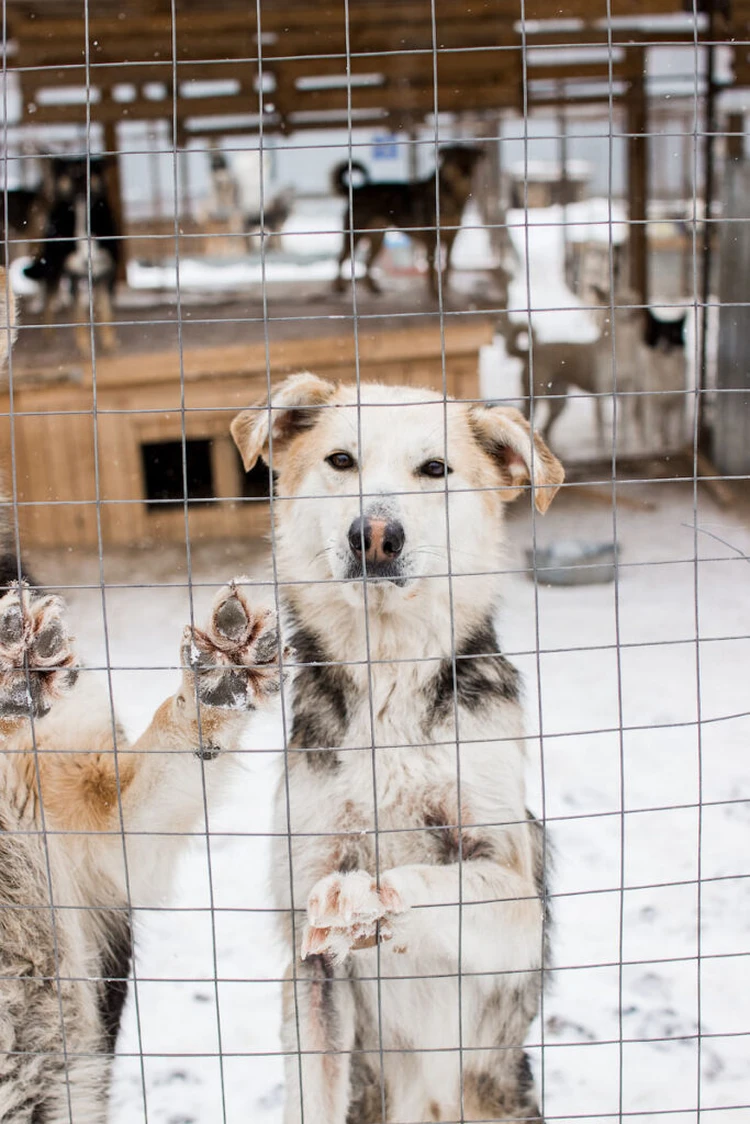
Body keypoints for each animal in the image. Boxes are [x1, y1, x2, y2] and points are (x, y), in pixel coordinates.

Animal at [23, 158, 119, 355]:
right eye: (70, 172)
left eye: (89, 171)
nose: (81, 183)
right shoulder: (74, 276)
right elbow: (79, 316)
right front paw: (84, 346)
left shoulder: (105, 274)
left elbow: (106, 312)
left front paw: (109, 343)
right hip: (53, 267)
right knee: (49, 298)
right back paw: (48, 334)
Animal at [231, 375, 566, 1124]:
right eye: (341, 461)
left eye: (435, 469)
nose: (377, 535)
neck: (386, 677)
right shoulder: (312, 975)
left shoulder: (516, 905)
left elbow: (428, 879)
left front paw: (365, 894)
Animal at [330, 142, 483, 296]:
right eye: (454, 159)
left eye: (469, 158)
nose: (466, 172)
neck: (451, 193)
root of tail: (356, 190)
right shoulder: (432, 240)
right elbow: (432, 269)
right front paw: (434, 293)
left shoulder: (452, 239)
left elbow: (449, 265)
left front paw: (444, 287)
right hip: (354, 236)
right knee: (341, 258)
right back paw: (338, 287)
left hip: (377, 239)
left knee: (367, 262)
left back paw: (373, 288)